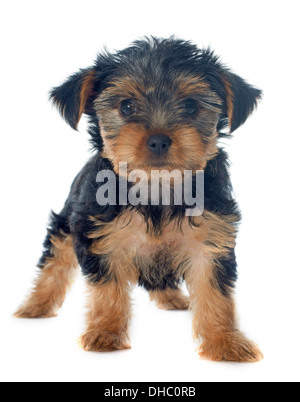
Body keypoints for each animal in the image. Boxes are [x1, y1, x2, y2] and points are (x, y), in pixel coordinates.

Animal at [14, 37, 262, 362]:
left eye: (191, 106)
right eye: (126, 106)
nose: (158, 140)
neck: (156, 187)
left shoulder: (210, 240)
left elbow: (215, 292)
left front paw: (225, 342)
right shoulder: (100, 236)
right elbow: (108, 290)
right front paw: (105, 334)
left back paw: (172, 297)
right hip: (67, 223)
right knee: (55, 262)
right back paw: (36, 306)